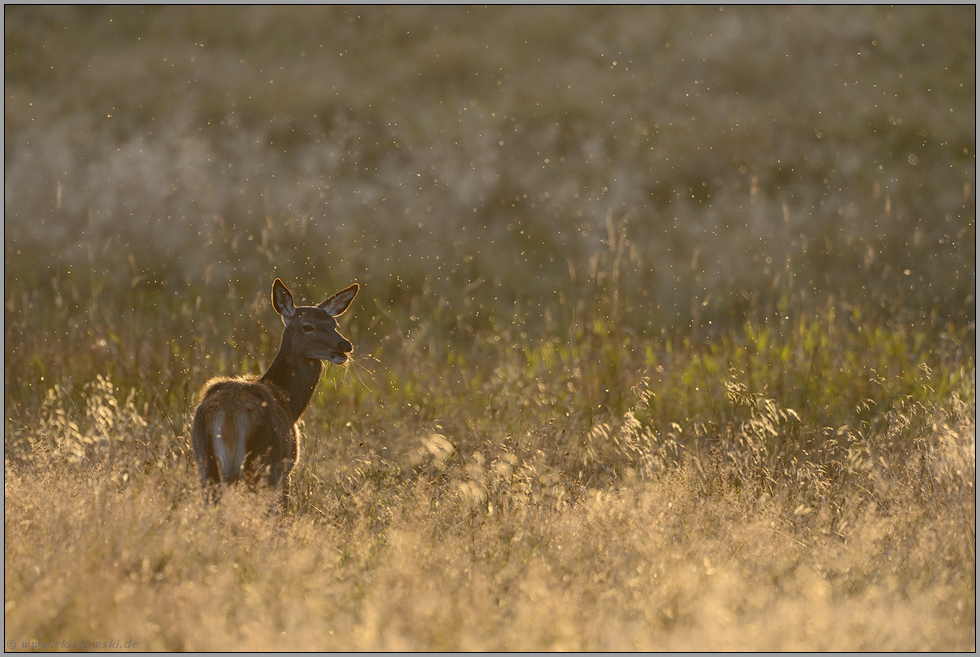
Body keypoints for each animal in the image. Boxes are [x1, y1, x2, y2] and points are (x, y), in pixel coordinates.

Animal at [191, 274, 360, 510]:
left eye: (334, 323)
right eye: (307, 326)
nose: (345, 346)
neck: (289, 403)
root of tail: (229, 418)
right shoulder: (286, 466)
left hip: (205, 462)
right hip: (264, 462)